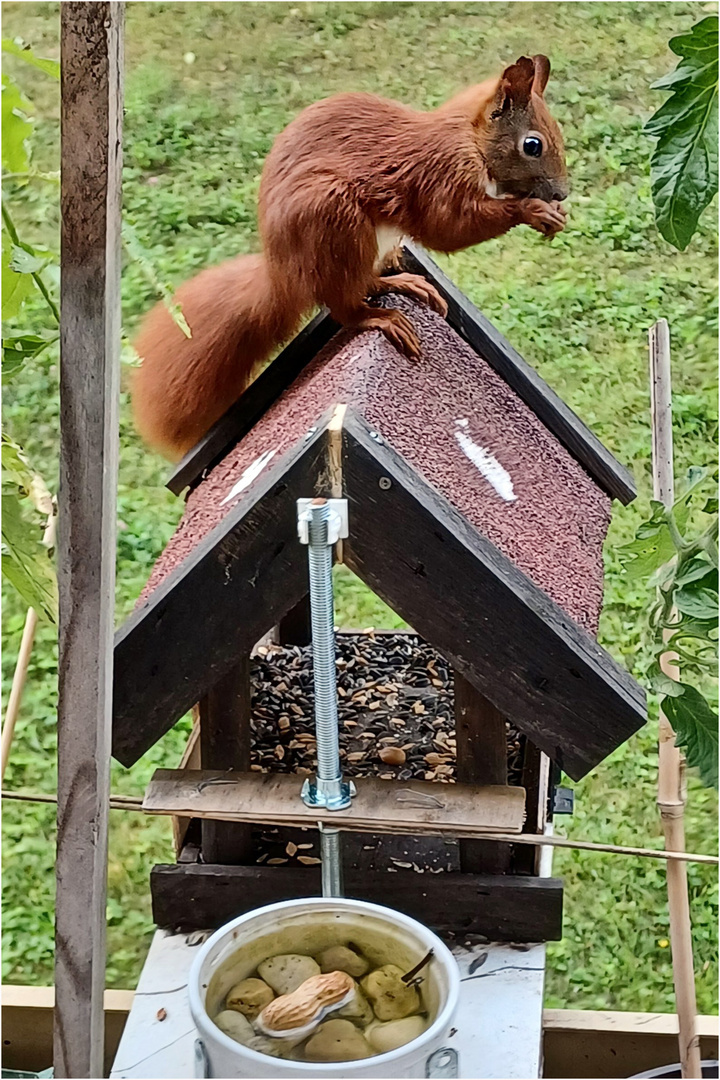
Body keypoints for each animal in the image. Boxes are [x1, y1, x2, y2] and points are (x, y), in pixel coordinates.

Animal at [132, 56, 565, 457]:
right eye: (532, 145)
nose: (561, 192)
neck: (469, 139)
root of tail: (282, 275)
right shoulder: (440, 177)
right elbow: (449, 227)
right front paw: (532, 211)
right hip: (333, 220)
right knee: (344, 305)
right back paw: (380, 317)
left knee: (366, 282)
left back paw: (403, 282)